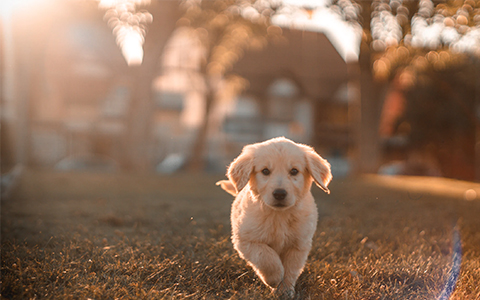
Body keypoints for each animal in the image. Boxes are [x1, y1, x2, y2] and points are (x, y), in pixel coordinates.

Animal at [217, 137, 332, 296]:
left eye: (294, 171)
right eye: (265, 171)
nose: (279, 194)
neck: (279, 215)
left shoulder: (298, 245)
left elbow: (290, 270)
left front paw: (285, 291)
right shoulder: (246, 240)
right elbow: (266, 257)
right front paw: (274, 278)